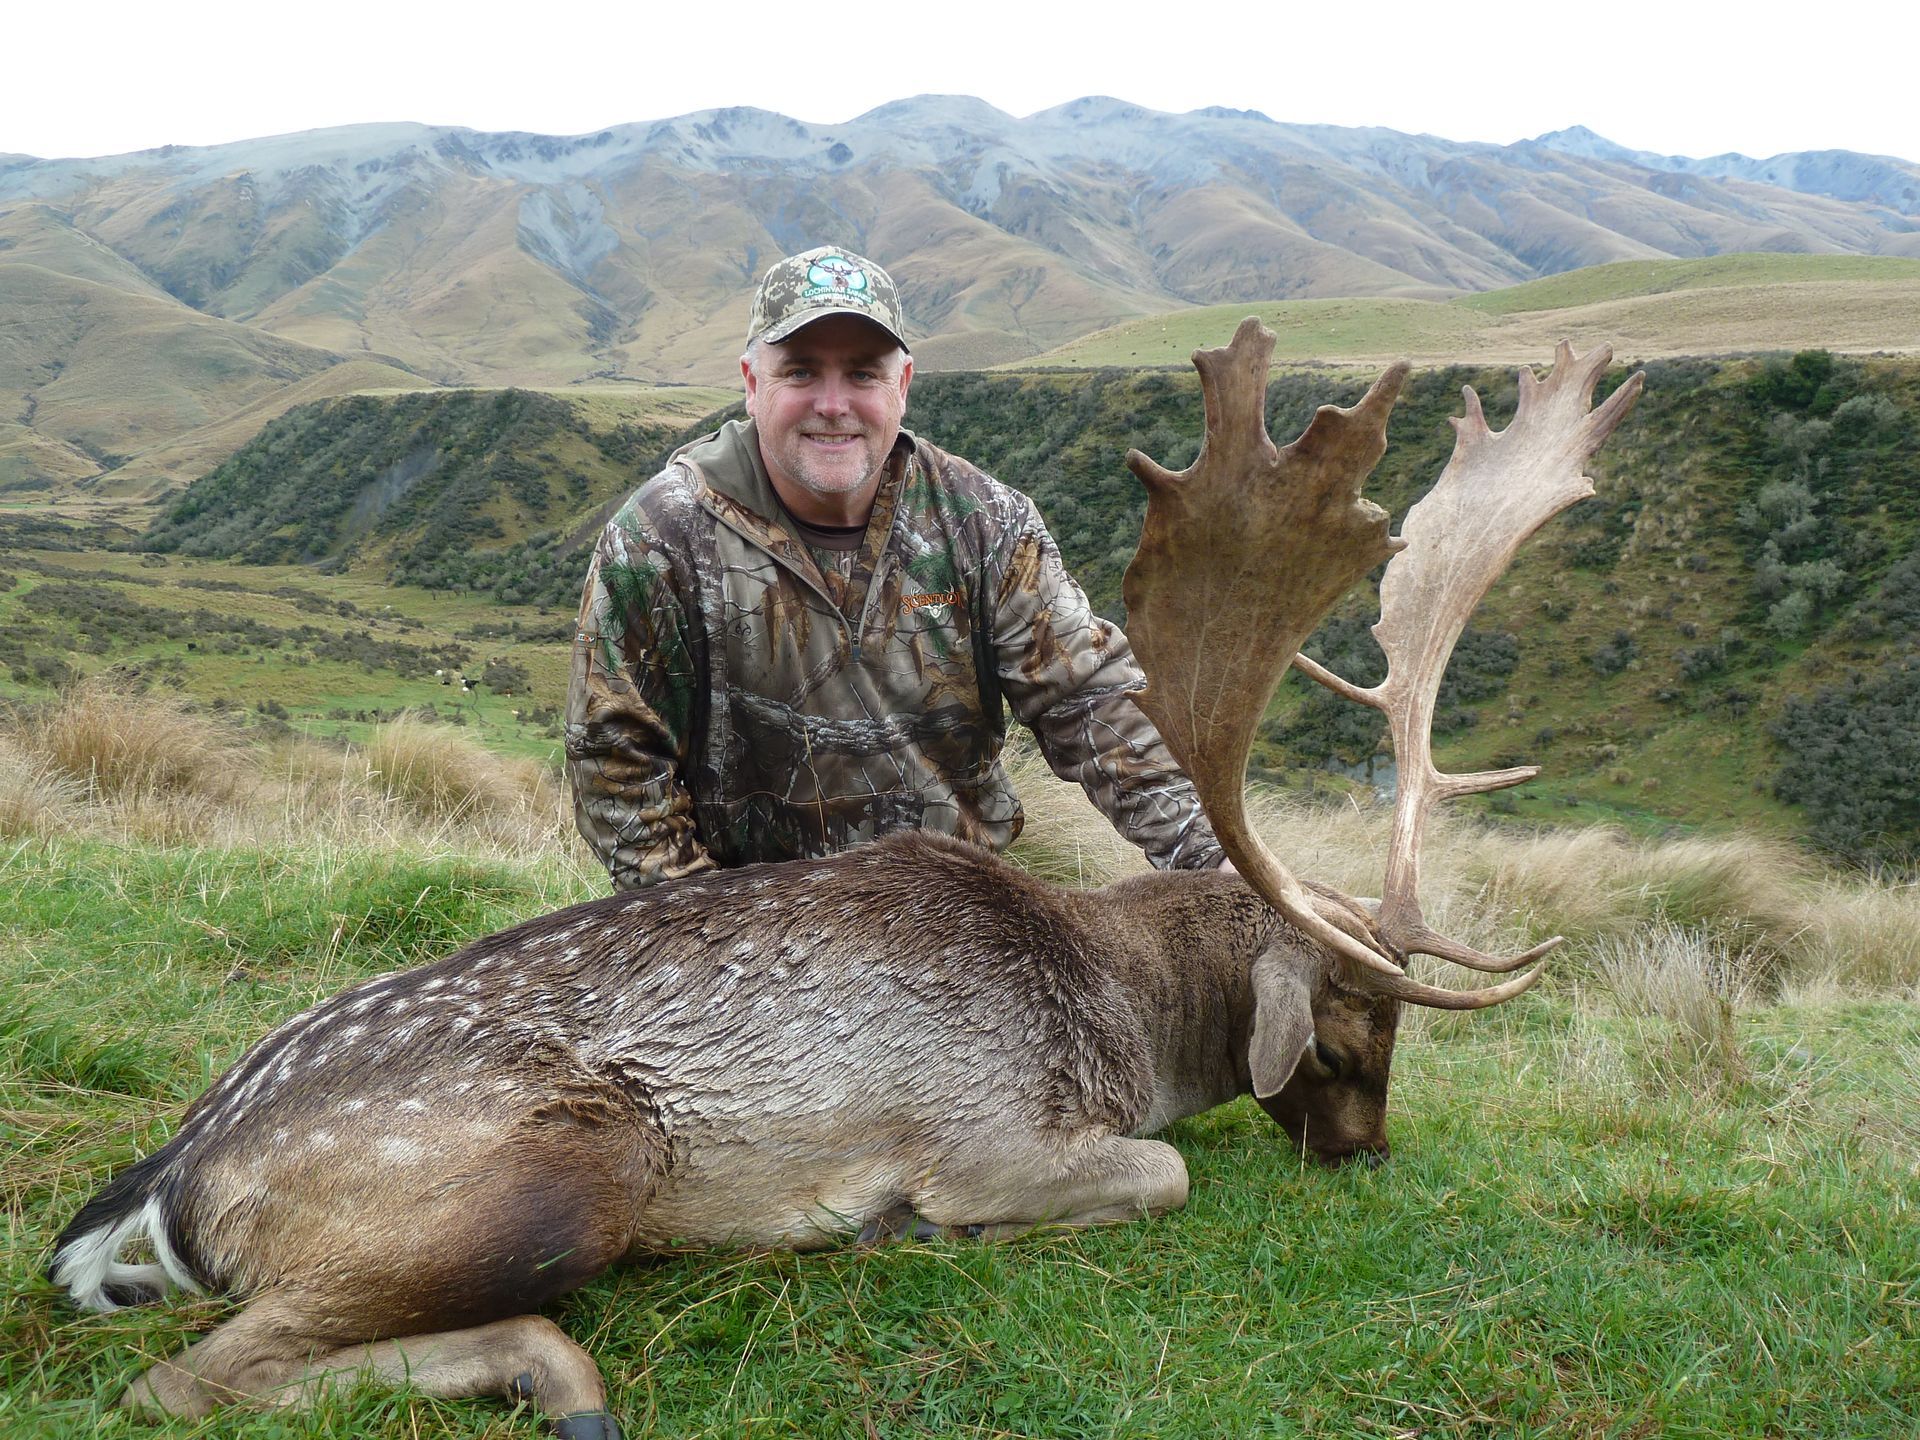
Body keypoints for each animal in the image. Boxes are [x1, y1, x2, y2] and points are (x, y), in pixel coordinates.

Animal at [49, 324, 1642, 1439]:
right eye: (1357, 1024)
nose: (1368, 1155)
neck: (1119, 1026)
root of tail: (158, 1192)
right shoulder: (985, 1128)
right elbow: (1167, 1171)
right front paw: (909, 1229)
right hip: (559, 1165)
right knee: (184, 1380)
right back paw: (558, 1373)